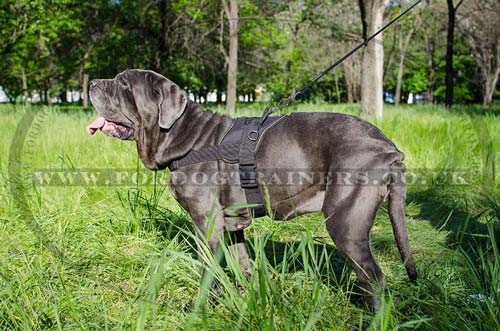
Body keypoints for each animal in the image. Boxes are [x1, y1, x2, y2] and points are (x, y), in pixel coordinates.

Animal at [88, 68, 416, 310]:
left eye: (123, 84)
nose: (91, 82)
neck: (185, 136)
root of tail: (389, 148)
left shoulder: (206, 222)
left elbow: (208, 269)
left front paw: (200, 307)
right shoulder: (233, 223)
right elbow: (241, 263)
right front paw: (244, 298)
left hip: (346, 222)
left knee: (375, 280)